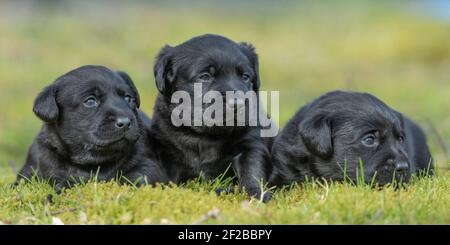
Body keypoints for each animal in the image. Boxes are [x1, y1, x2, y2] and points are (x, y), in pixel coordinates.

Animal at [15, 65, 168, 193]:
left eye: (128, 98)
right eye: (90, 101)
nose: (125, 122)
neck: (92, 161)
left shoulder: (147, 164)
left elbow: (138, 176)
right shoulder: (33, 169)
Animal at [149, 34, 272, 203]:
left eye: (245, 77)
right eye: (205, 76)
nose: (238, 103)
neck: (205, 135)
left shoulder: (250, 143)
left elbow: (252, 167)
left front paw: (255, 192)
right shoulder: (166, 149)